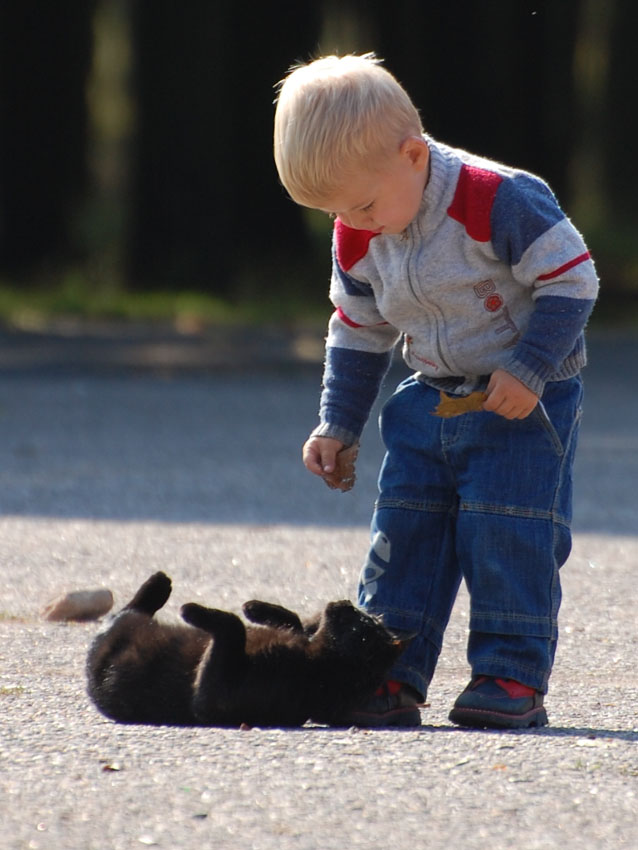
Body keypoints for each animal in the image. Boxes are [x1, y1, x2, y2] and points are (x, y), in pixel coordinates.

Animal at [86, 568, 410, 724]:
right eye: (366, 616)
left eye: (362, 623)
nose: (345, 602)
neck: (319, 662)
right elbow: (293, 620)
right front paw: (255, 607)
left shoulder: (211, 698)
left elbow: (234, 627)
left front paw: (192, 611)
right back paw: (160, 585)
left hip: (115, 638)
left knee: (128, 612)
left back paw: (161, 585)